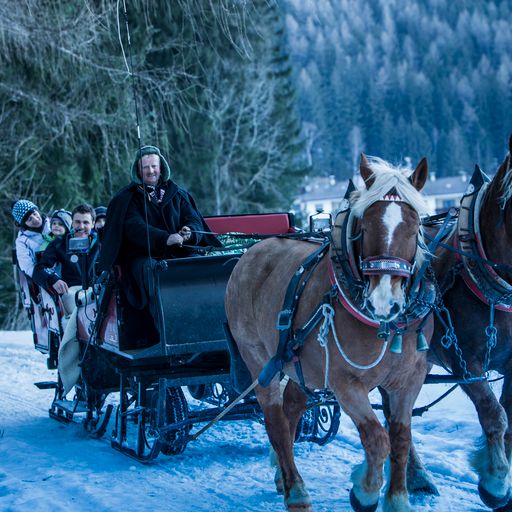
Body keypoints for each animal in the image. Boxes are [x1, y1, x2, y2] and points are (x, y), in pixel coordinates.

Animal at [226, 156, 430, 512]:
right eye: (365, 226)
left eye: (414, 225)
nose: (383, 302)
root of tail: (251, 250)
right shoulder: (345, 382)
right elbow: (377, 439)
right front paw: (365, 491)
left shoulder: (409, 380)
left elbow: (401, 439)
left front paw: (397, 499)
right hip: (258, 359)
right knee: (275, 421)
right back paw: (296, 490)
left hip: (298, 362)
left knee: (292, 408)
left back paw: (281, 474)